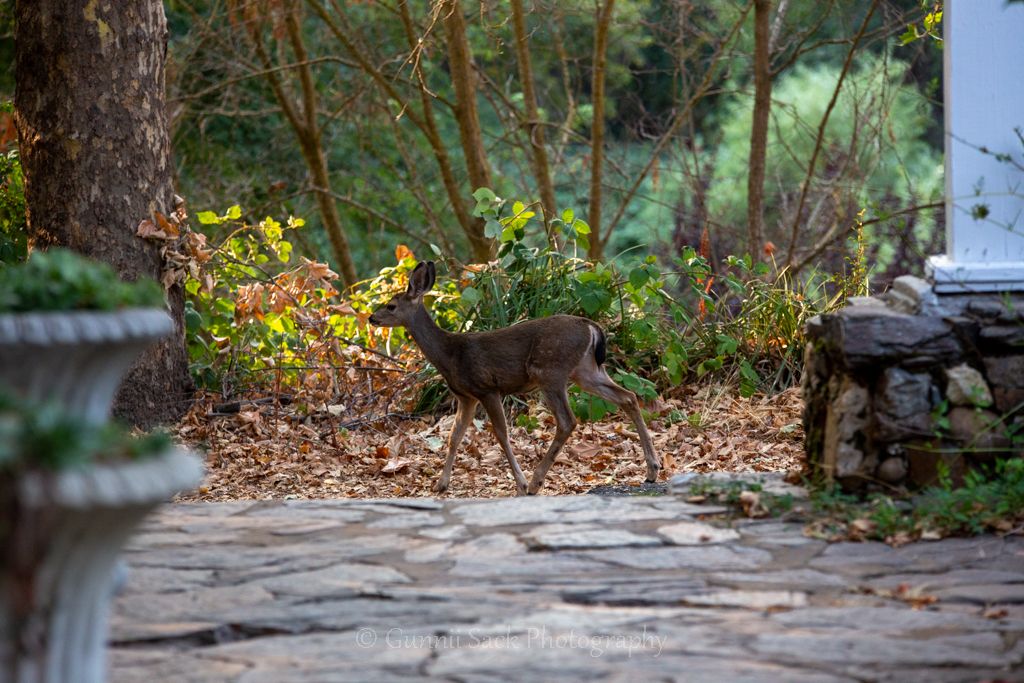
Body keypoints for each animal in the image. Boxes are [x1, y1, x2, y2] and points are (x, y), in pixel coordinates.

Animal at [368, 261, 661, 496]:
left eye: (391, 306)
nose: (372, 318)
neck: (449, 355)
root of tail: (591, 327)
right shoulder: (466, 396)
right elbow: (454, 436)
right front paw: (440, 484)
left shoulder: (486, 388)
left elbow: (501, 434)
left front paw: (519, 483)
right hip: (585, 370)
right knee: (628, 397)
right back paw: (652, 470)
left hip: (550, 370)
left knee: (568, 421)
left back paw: (534, 483)